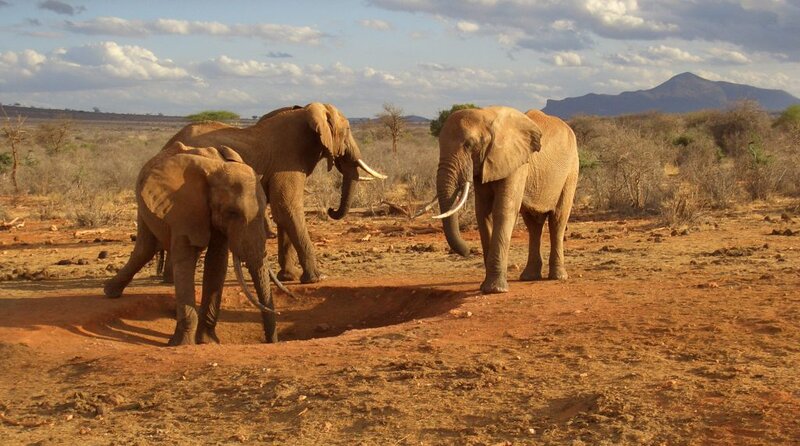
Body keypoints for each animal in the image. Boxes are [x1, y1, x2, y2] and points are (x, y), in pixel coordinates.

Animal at [161, 103, 386, 284]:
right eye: (347, 129)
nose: (331, 209)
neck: (306, 112)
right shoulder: (287, 160)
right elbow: (286, 208)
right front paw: (317, 278)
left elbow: (283, 211)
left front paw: (288, 277)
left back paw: (170, 280)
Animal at [434, 106, 580, 294]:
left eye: (469, 145)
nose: (467, 251)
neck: (485, 116)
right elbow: (483, 213)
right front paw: (486, 287)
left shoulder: (517, 163)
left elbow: (504, 210)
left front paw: (495, 289)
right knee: (533, 225)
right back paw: (529, 277)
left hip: (571, 171)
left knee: (558, 220)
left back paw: (557, 277)